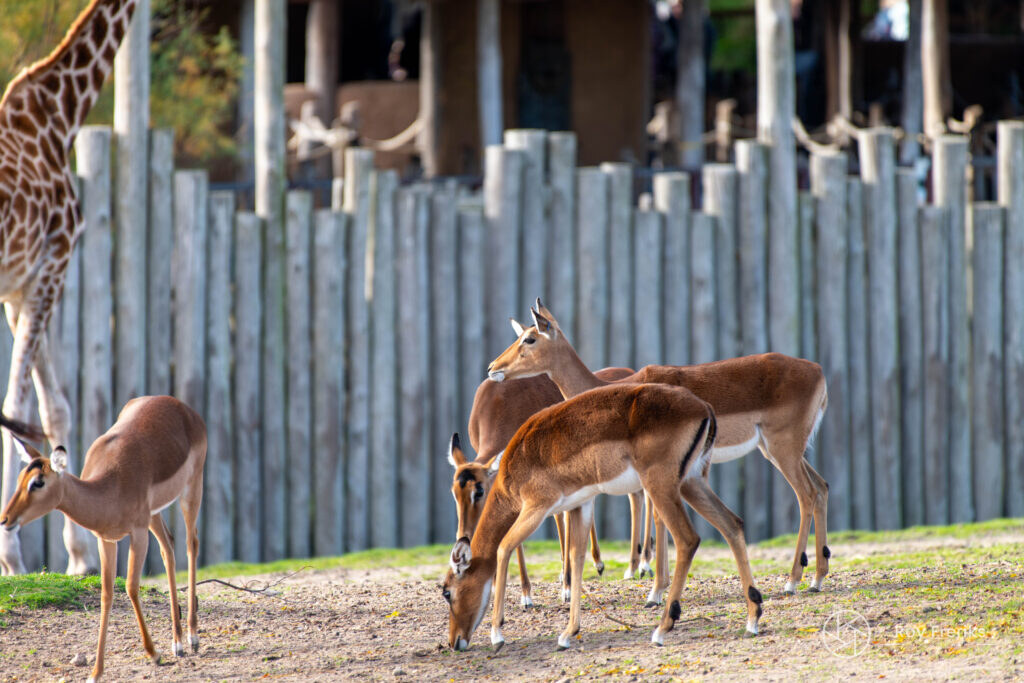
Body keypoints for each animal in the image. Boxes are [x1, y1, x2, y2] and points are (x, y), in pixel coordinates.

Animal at [0, 396, 206, 682]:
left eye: (38, 482)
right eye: (21, 479)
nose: (5, 519)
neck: (110, 487)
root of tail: (181, 407)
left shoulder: (137, 533)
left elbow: (131, 586)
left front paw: (154, 654)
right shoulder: (106, 540)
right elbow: (106, 595)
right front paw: (96, 672)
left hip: (191, 489)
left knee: (191, 544)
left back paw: (192, 638)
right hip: (155, 514)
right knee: (168, 547)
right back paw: (177, 643)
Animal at [442, 383, 764, 651]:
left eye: (446, 591)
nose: (454, 642)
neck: (517, 461)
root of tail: (704, 408)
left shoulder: (536, 507)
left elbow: (503, 548)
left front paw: (497, 634)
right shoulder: (581, 504)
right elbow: (577, 557)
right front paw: (567, 634)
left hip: (661, 487)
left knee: (688, 539)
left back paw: (661, 629)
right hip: (692, 482)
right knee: (732, 524)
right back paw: (752, 619)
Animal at [489, 300, 831, 594]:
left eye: (530, 338)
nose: (494, 367)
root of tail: (817, 370)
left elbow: (657, 517)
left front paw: (653, 584)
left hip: (782, 449)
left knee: (806, 495)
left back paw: (792, 581)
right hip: (781, 451)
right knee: (821, 487)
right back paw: (816, 578)